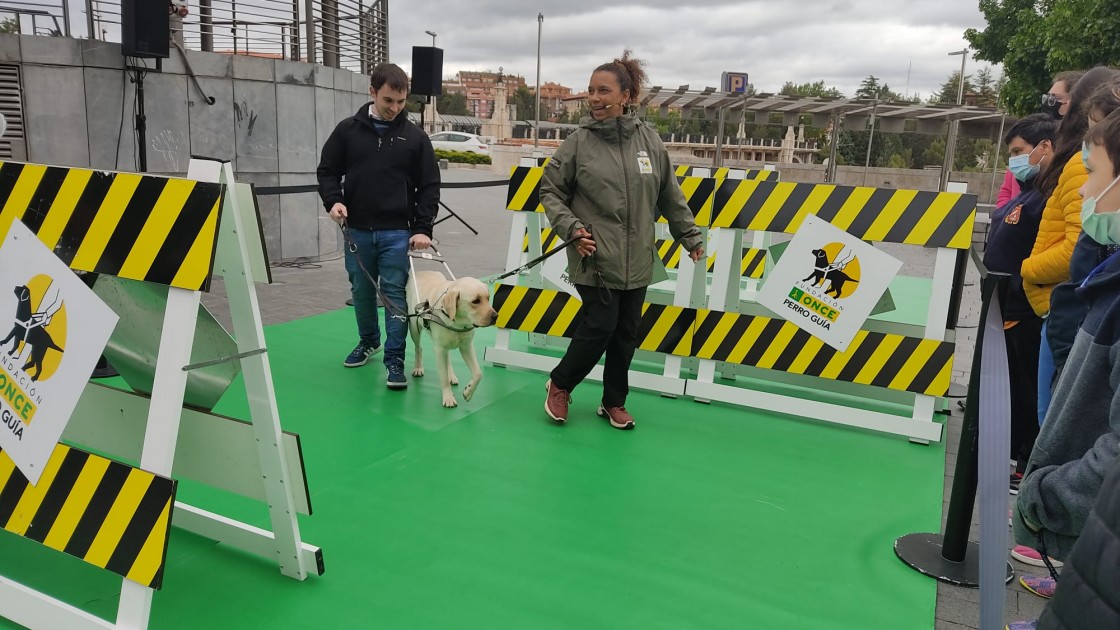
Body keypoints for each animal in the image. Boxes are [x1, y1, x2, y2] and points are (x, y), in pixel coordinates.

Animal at [407, 270, 499, 408]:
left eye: (488, 298)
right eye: (475, 301)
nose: (495, 316)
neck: (457, 322)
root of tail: (421, 271)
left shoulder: (466, 346)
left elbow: (478, 373)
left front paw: (468, 392)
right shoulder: (439, 350)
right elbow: (443, 377)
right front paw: (448, 397)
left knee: (448, 358)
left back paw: (451, 375)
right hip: (414, 329)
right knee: (418, 348)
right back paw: (418, 368)